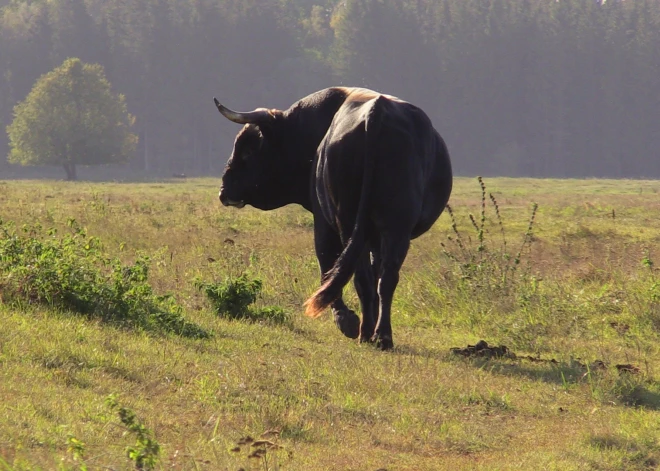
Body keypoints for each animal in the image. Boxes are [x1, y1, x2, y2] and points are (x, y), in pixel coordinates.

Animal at [214, 87, 452, 350]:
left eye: (249, 150)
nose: (224, 191)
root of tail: (376, 112)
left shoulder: (322, 222)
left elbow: (326, 266)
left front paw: (345, 320)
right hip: (394, 230)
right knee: (385, 278)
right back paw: (381, 336)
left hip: (348, 225)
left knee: (356, 275)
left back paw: (364, 331)